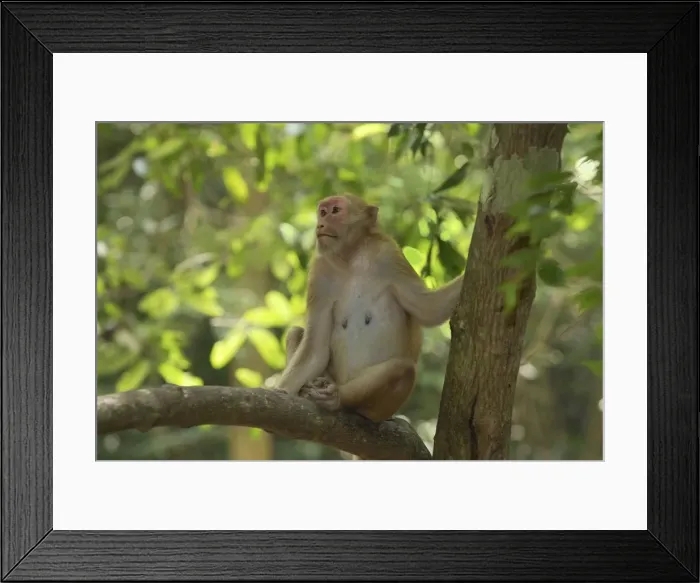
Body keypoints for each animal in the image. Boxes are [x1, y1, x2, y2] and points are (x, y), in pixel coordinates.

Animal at [274, 193, 464, 423]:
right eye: (322, 212)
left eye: (335, 211)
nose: (320, 224)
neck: (351, 259)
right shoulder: (319, 273)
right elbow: (315, 350)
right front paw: (281, 391)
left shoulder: (389, 255)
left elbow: (430, 309)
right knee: (296, 333)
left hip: (381, 410)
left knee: (403, 369)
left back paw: (339, 399)